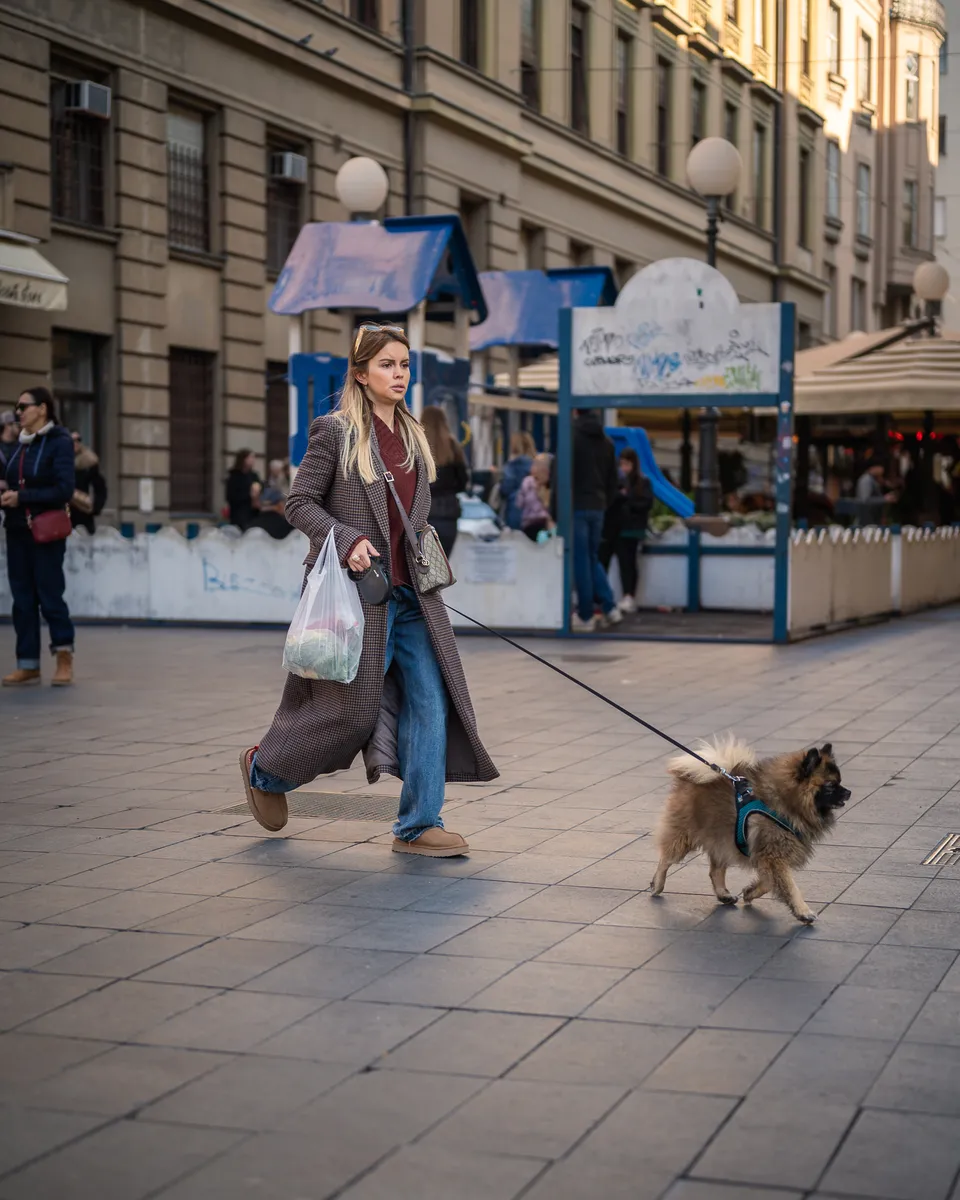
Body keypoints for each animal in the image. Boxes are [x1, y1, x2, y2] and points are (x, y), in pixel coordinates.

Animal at [652, 734, 849, 921]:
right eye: (830, 785)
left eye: (840, 781)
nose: (849, 792)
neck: (784, 800)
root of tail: (691, 777)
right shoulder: (773, 855)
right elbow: (789, 886)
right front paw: (803, 911)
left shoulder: (769, 856)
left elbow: (769, 882)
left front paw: (750, 892)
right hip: (686, 836)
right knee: (666, 859)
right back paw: (657, 884)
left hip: (722, 838)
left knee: (716, 871)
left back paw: (723, 894)